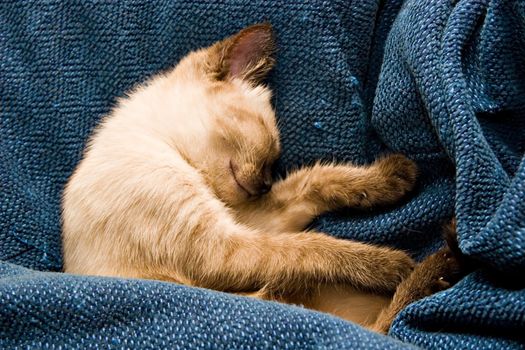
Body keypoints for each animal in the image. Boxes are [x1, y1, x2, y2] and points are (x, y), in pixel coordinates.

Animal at [60, 23, 454, 332]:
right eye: (268, 152)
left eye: (273, 164)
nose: (263, 186)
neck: (168, 149)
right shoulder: (222, 247)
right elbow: (313, 245)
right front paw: (391, 264)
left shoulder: (248, 220)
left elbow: (315, 181)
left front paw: (395, 176)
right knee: (372, 323)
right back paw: (432, 268)